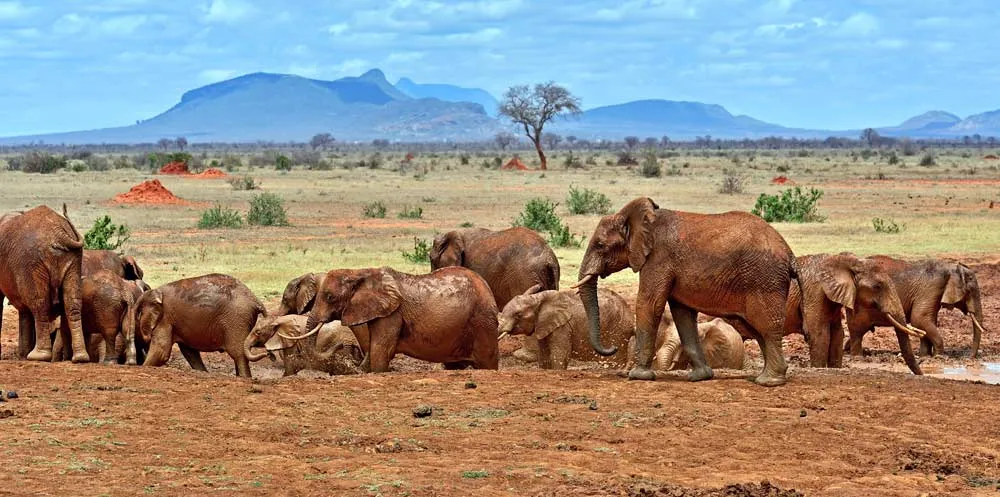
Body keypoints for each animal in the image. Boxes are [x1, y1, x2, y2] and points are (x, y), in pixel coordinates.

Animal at [0, 203, 89, 362]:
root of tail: (59, 233)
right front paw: (22, 356)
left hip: (32, 261)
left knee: (39, 304)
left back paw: (38, 356)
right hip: (74, 259)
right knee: (72, 303)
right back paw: (80, 358)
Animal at [135, 274, 266, 374]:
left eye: (138, 313)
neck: (154, 292)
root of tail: (255, 300)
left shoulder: (165, 318)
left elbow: (161, 352)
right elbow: (190, 353)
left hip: (236, 319)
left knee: (238, 354)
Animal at [580, 196, 796, 386]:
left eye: (600, 245)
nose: (613, 347)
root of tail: (789, 253)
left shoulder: (658, 258)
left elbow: (649, 304)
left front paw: (638, 376)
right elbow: (682, 314)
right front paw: (700, 377)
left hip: (764, 280)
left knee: (767, 328)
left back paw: (769, 382)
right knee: (758, 330)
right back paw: (763, 377)